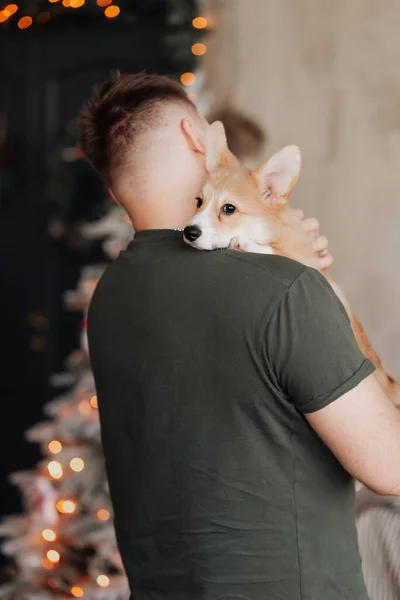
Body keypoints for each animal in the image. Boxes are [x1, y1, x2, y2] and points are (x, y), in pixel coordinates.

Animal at [184, 120, 396, 404]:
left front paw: (247, 243)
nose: (189, 232)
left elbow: (277, 251)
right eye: (198, 201)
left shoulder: (309, 263)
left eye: (229, 209)